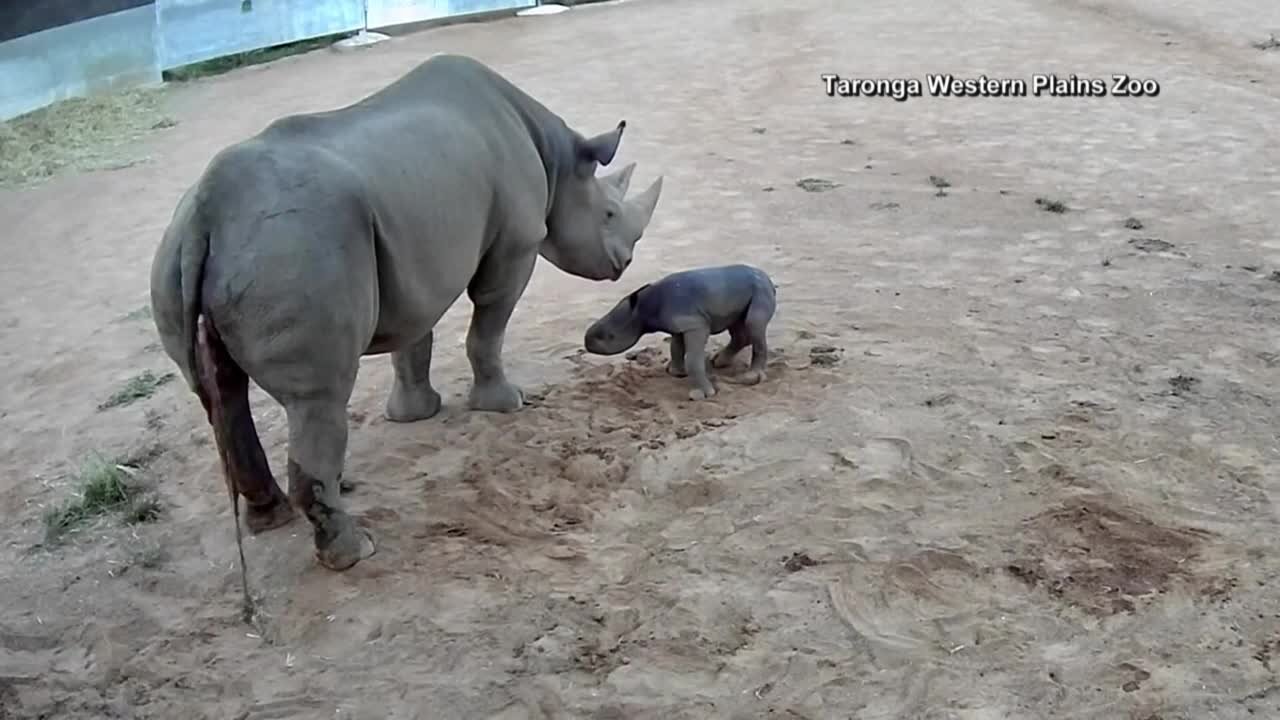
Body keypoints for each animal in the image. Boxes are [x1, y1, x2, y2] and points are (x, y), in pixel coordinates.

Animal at [152, 53, 660, 571]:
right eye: (609, 214)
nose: (625, 263)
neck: (556, 157)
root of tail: (207, 214)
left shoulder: (414, 262)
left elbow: (415, 340)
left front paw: (415, 414)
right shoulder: (516, 245)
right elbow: (488, 326)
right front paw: (506, 403)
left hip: (188, 256)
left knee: (220, 393)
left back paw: (271, 518)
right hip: (297, 248)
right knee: (318, 396)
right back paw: (354, 552)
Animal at [583, 263, 778, 397]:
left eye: (608, 336)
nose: (586, 342)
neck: (642, 311)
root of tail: (768, 278)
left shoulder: (695, 324)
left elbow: (692, 357)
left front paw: (703, 395)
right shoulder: (679, 325)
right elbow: (675, 348)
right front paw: (676, 373)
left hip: (760, 289)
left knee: (753, 323)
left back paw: (749, 377)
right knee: (738, 326)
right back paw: (718, 362)